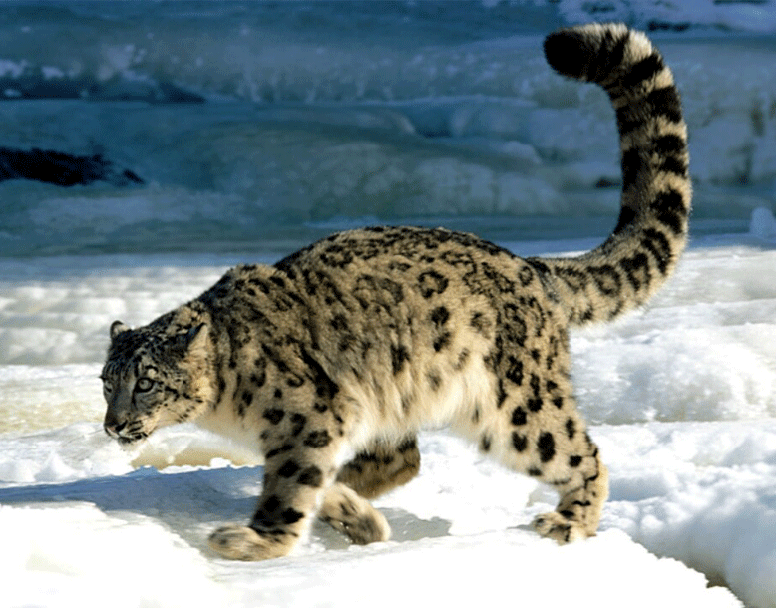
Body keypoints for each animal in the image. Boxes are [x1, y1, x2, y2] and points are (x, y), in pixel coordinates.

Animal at [103, 25, 692, 560]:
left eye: (147, 382)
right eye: (108, 383)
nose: (114, 425)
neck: (227, 406)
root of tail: (529, 266)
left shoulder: (310, 419)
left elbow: (290, 487)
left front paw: (253, 542)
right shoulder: (326, 426)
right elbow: (307, 478)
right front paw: (355, 518)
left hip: (518, 406)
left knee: (579, 452)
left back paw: (569, 522)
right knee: (404, 458)